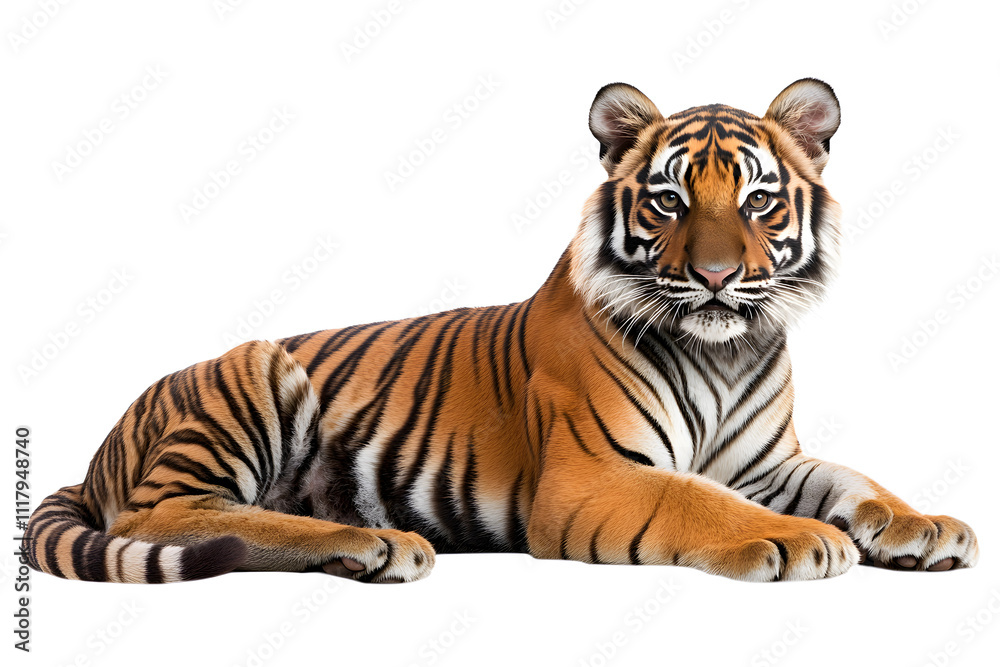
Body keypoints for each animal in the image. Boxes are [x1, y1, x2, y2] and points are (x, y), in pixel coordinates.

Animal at [25, 78, 979, 584]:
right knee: (169, 513)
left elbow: (857, 480)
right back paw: (375, 543)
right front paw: (799, 538)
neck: (725, 349)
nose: (715, 276)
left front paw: (928, 525)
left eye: (758, 200)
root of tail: (104, 444)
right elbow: (697, 497)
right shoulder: (594, 477)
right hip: (251, 374)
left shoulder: (768, 463)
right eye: (670, 200)